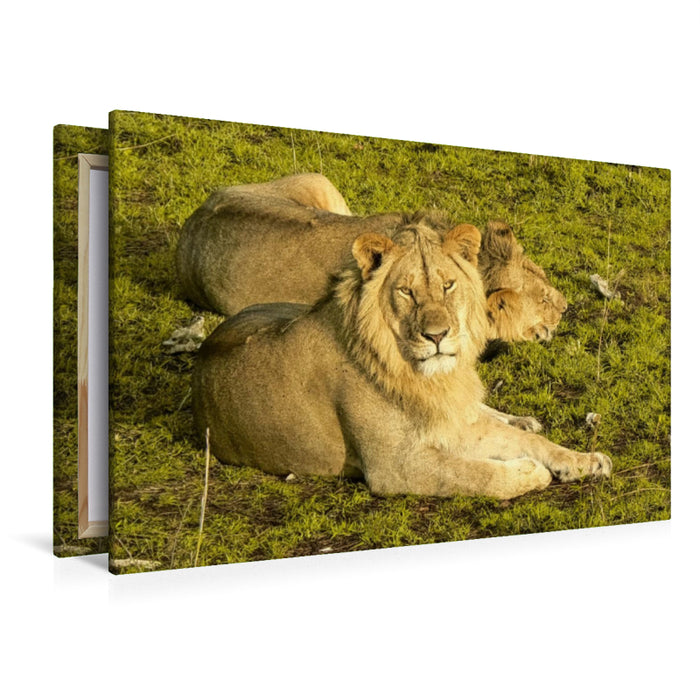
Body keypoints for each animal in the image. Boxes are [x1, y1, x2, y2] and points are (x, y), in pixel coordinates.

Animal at [192, 215, 610, 499]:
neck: (423, 377)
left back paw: (523, 420)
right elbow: (474, 475)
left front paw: (585, 461)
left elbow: (525, 442)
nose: (437, 335)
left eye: (448, 284)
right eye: (406, 291)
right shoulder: (394, 467)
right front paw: (531, 473)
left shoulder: (448, 423)